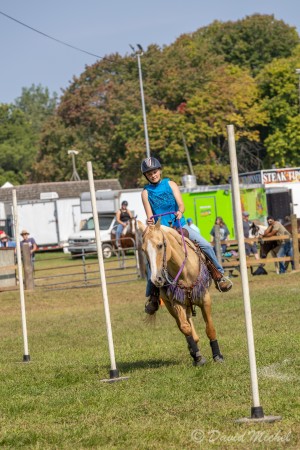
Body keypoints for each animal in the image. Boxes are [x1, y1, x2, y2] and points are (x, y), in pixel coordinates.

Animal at [137, 220, 224, 368]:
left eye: (160, 245)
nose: (156, 279)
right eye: (143, 250)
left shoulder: (205, 299)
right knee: (185, 326)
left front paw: (217, 356)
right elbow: (185, 328)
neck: (185, 270)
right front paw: (198, 357)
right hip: (171, 306)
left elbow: (210, 328)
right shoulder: (176, 302)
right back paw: (193, 351)